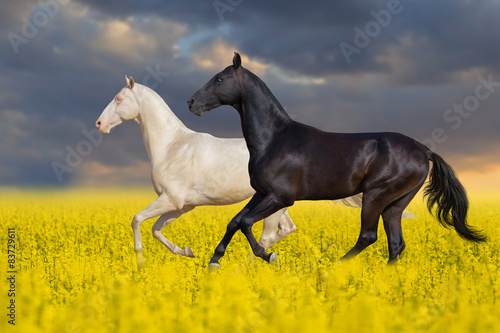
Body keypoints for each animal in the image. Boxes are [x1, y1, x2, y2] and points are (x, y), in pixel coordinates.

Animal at [95, 74, 366, 268]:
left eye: (118, 99)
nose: (99, 124)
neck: (172, 146)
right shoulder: (182, 206)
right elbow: (156, 229)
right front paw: (187, 252)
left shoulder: (171, 199)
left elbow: (137, 219)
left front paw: (140, 260)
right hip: (276, 203)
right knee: (286, 229)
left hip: (274, 203)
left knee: (268, 234)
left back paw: (250, 264)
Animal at [187, 52, 484, 268]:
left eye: (220, 79)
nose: (191, 102)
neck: (274, 139)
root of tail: (424, 150)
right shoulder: (262, 193)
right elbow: (235, 221)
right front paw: (214, 261)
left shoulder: (281, 198)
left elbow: (246, 223)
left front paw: (269, 256)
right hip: (395, 204)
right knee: (396, 244)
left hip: (376, 195)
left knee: (369, 236)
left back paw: (335, 266)